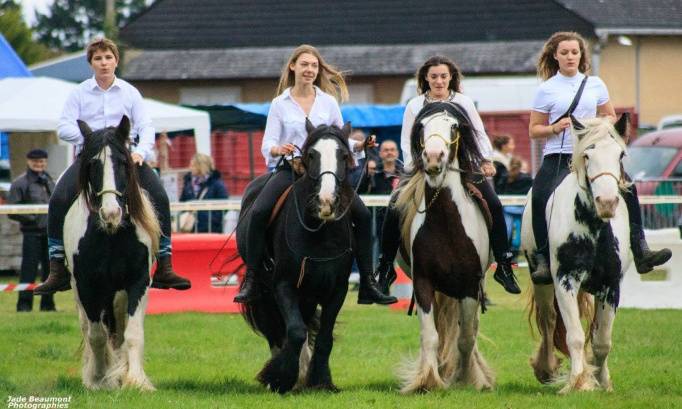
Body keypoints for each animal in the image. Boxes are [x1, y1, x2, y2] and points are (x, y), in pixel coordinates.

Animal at [63, 115, 160, 388]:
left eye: (123, 163)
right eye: (92, 164)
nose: (111, 213)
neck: (112, 235)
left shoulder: (137, 282)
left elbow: (133, 333)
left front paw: (135, 380)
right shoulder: (87, 285)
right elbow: (96, 335)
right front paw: (98, 379)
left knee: (119, 331)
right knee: (91, 329)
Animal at [238, 120, 356, 392]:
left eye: (344, 155)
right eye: (311, 155)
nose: (326, 202)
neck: (320, 232)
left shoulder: (338, 289)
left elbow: (323, 337)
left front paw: (321, 381)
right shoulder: (283, 285)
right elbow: (295, 331)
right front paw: (279, 378)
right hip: (265, 290)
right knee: (276, 329)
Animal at [394, 102, 494, 392]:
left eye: (454, 127)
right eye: (421, 127)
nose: (433, 157)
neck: (446, 223)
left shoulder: (470, 287)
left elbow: (466, 337)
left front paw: (465, 379)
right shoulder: (423, 283)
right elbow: (431, 335)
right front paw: (428, 380)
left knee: (469, 328)